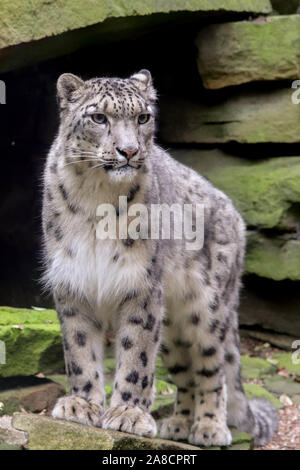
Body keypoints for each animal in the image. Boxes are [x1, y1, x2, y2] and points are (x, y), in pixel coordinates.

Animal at [41, 68, 278, 446]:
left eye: (143, 117)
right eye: (98, 117)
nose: (129, 150)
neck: (97, 197)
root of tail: (235, 215)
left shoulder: (141, 286)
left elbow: (136, 357)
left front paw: (128, 414)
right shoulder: (73, 282)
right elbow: (79, 351)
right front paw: (81, 405)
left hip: (208, 309)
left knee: (212, 369)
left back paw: (209, 427)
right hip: (171, 328)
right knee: (184, 372)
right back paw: (179, 424)